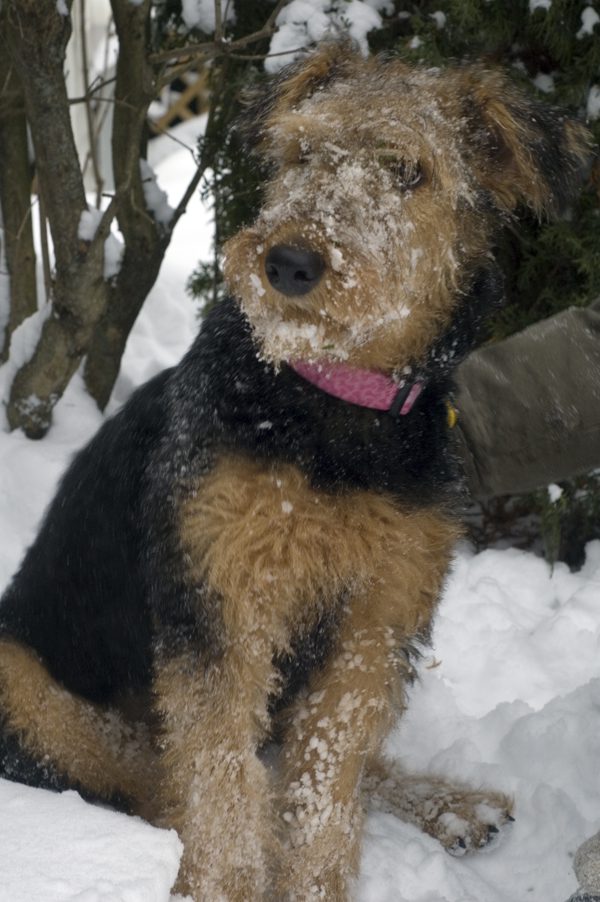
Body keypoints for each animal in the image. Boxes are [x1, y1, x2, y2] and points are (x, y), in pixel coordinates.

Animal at [0, 40, 592, 896]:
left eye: (408, 170)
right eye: (304, 151)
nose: (287, 262)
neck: (331, 411)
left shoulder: (375, 621)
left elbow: (325, 787)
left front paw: (314, 882)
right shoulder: (225, 603)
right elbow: (224, 779)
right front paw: (228, 885)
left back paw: (450, 804)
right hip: (27, 684)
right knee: (165, 783)